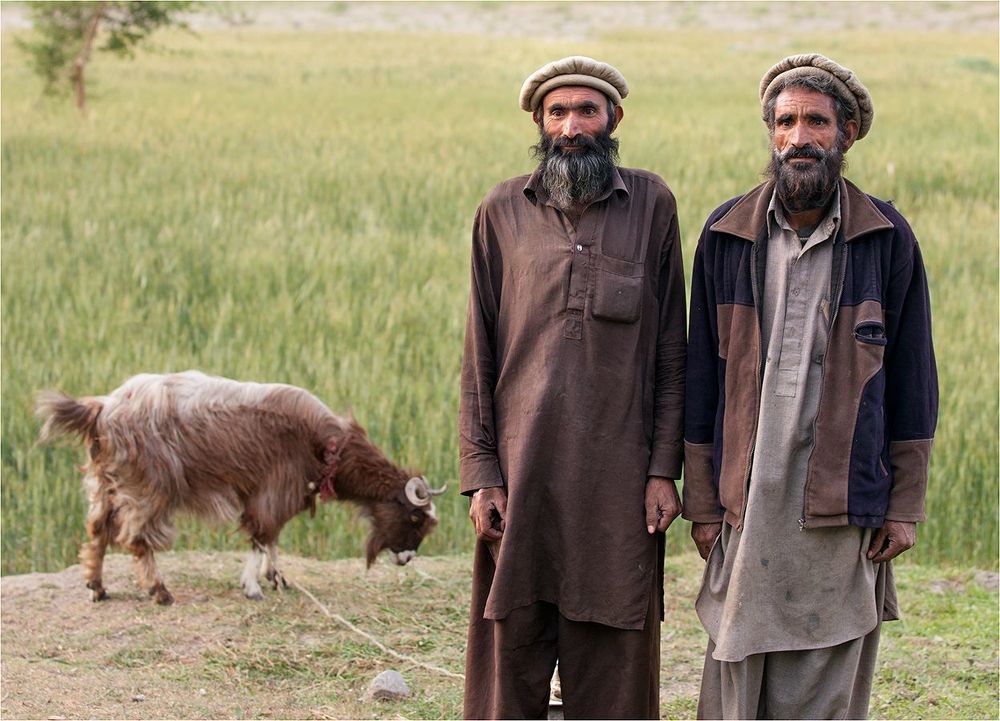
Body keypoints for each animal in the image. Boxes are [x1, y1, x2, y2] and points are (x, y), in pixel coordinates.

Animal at [36, 371, 444, 605]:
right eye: (415, 517)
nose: (407, 558)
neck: (328, 446)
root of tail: (102, 409)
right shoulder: (273, 490)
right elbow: (262, 536)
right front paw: (253, 587)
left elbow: (272, 541)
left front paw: (277, 577)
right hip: (148, 487)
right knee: (135, 538)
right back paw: (159, 591)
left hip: (105, 482)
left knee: (98, 530)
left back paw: (96, 586)